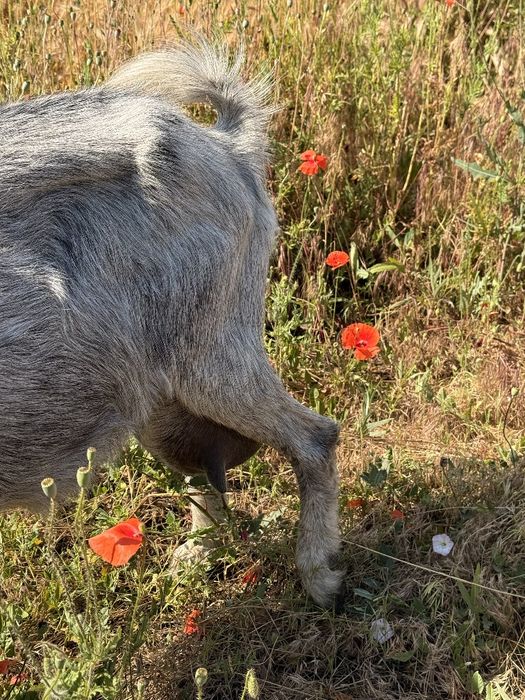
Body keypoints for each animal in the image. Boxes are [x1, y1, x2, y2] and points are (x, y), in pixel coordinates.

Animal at [0, 41, 344, 607]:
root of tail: (227, 146)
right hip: (161, 405)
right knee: (209, 468)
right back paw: (197, 558)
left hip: (212, 358)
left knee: (316, 438)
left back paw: (320, 577)